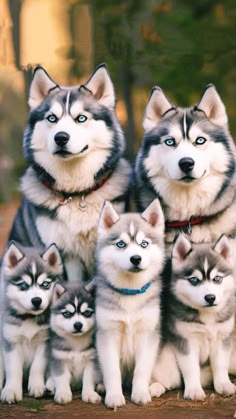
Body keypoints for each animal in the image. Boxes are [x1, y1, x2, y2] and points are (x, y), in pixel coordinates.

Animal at [0, 243, 62, 404]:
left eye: (45, 284)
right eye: (23, 286)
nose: (36, 300)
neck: (29, 318)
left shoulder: (44, 342)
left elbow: (37, 366)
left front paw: (37, 386)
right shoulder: (11, 341)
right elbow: (14, 369)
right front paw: (11, 390)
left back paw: (50, 385)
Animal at [95, 200, 165, 410]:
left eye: (144, 244)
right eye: (121, 244)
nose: (136, 258)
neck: (130, 293)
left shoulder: (148, 333)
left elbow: (142, 369)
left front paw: (140, 392)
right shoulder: (108, 333)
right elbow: (112, 370)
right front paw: (114, 396)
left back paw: (155, 387)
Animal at [150, 235, 235, 402]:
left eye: (217, 278)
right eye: (194, 280)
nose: (210, 297)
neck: (207, 315)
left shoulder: (223, 338)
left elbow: (221, 364)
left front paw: (223, 384)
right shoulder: (186, 339)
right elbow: (190, 367)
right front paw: (194, 390)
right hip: (166, 361)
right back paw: (154, 387)